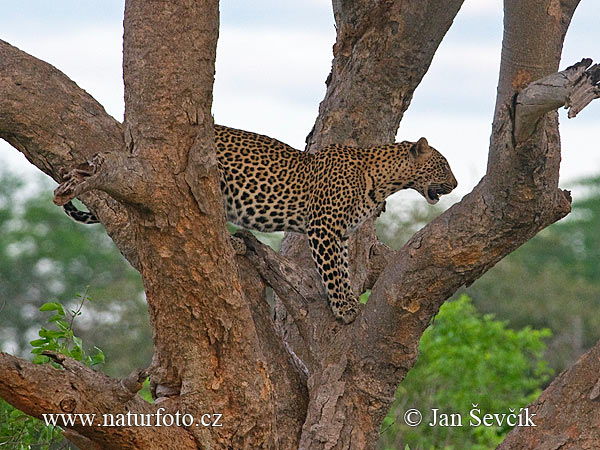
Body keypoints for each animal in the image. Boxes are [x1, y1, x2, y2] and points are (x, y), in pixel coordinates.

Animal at [63, 124, 458, 324]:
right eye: (443, 165)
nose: (455, 185)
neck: (384, 179)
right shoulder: (325, 228)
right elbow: (332, 271)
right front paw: (345, 309)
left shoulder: (341, 233)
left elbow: (343, 268)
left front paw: (347, 300)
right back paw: (234, 242)